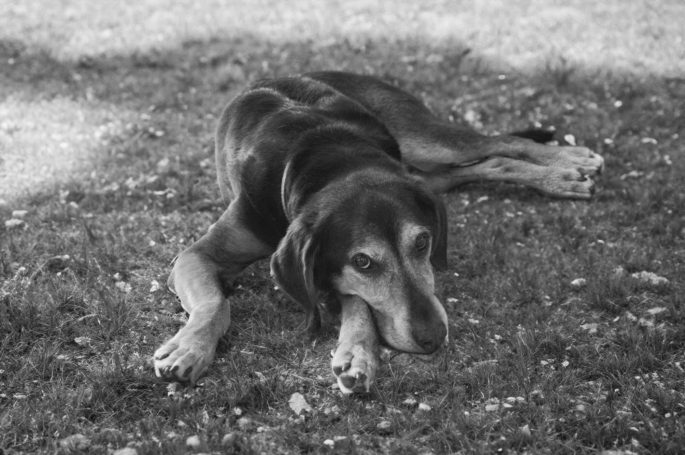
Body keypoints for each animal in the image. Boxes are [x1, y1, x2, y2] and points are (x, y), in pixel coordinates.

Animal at [152, 70, 600, 392]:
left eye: (423, 242)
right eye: (363, 261)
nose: (434, 338)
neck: (326, 153)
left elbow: (357, 301)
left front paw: (356, 352)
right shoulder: (198, 255)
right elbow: (216, 303)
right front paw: (189, 348)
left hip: (422, 141)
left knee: (497, 142)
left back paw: (568, 164)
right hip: (422, 169)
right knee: (486, 163)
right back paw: (563, 174)